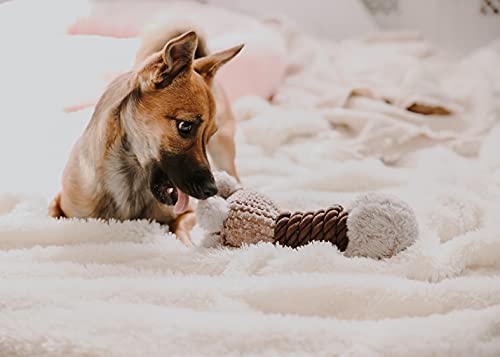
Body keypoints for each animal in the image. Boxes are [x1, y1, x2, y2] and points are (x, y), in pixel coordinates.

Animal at [48, 29, 242, 245]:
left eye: (209, 135)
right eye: (185, 126)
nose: (212, 191)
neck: (130, 180)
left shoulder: (187, 212)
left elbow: (180, 224)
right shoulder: (61, 205)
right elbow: (54, 216)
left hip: (225, 151)